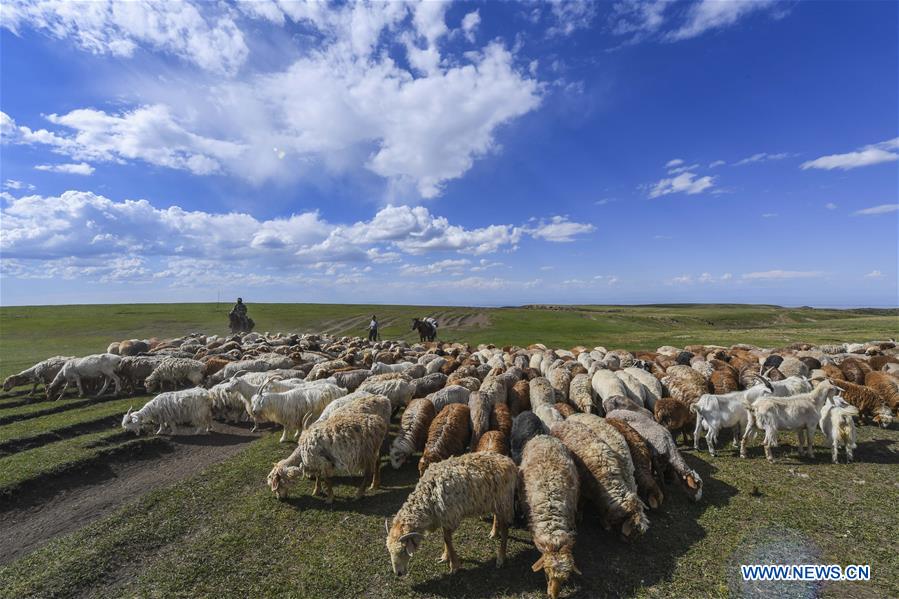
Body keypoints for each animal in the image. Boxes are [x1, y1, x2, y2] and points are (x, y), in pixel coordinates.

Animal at [384, 454, 516, 576]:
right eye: (390, 551)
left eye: (402, 551)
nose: (398, 573)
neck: (428, 497)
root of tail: (508, 461)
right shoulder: (444, 517)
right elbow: (445, 538)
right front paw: (445, 557)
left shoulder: (450, 515)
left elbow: (447, 539)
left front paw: (454, 566)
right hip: (494, 502)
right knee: (497, 517)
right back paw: (494, 533)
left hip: (504, 501)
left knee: (505, 529)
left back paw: (501, 558)